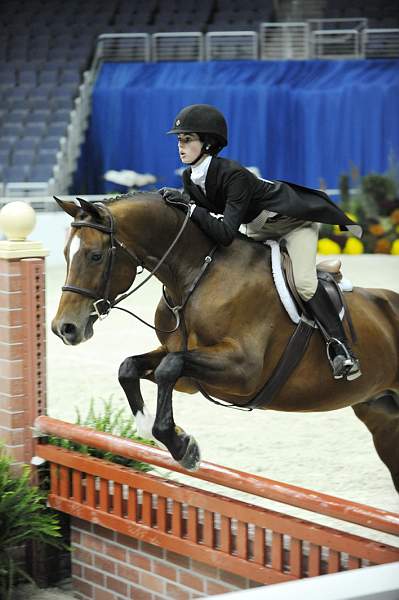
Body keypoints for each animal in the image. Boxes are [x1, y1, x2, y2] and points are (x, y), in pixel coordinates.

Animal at [51, 195, 399, 490]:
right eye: (66, 254)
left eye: (95, 256)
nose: (64, 328)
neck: (195, 275)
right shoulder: (187, 373)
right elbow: (130, 368)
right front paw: (158, 431)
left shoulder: (244, 372)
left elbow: (168, 368)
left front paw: (183, 446)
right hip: (382, 416)